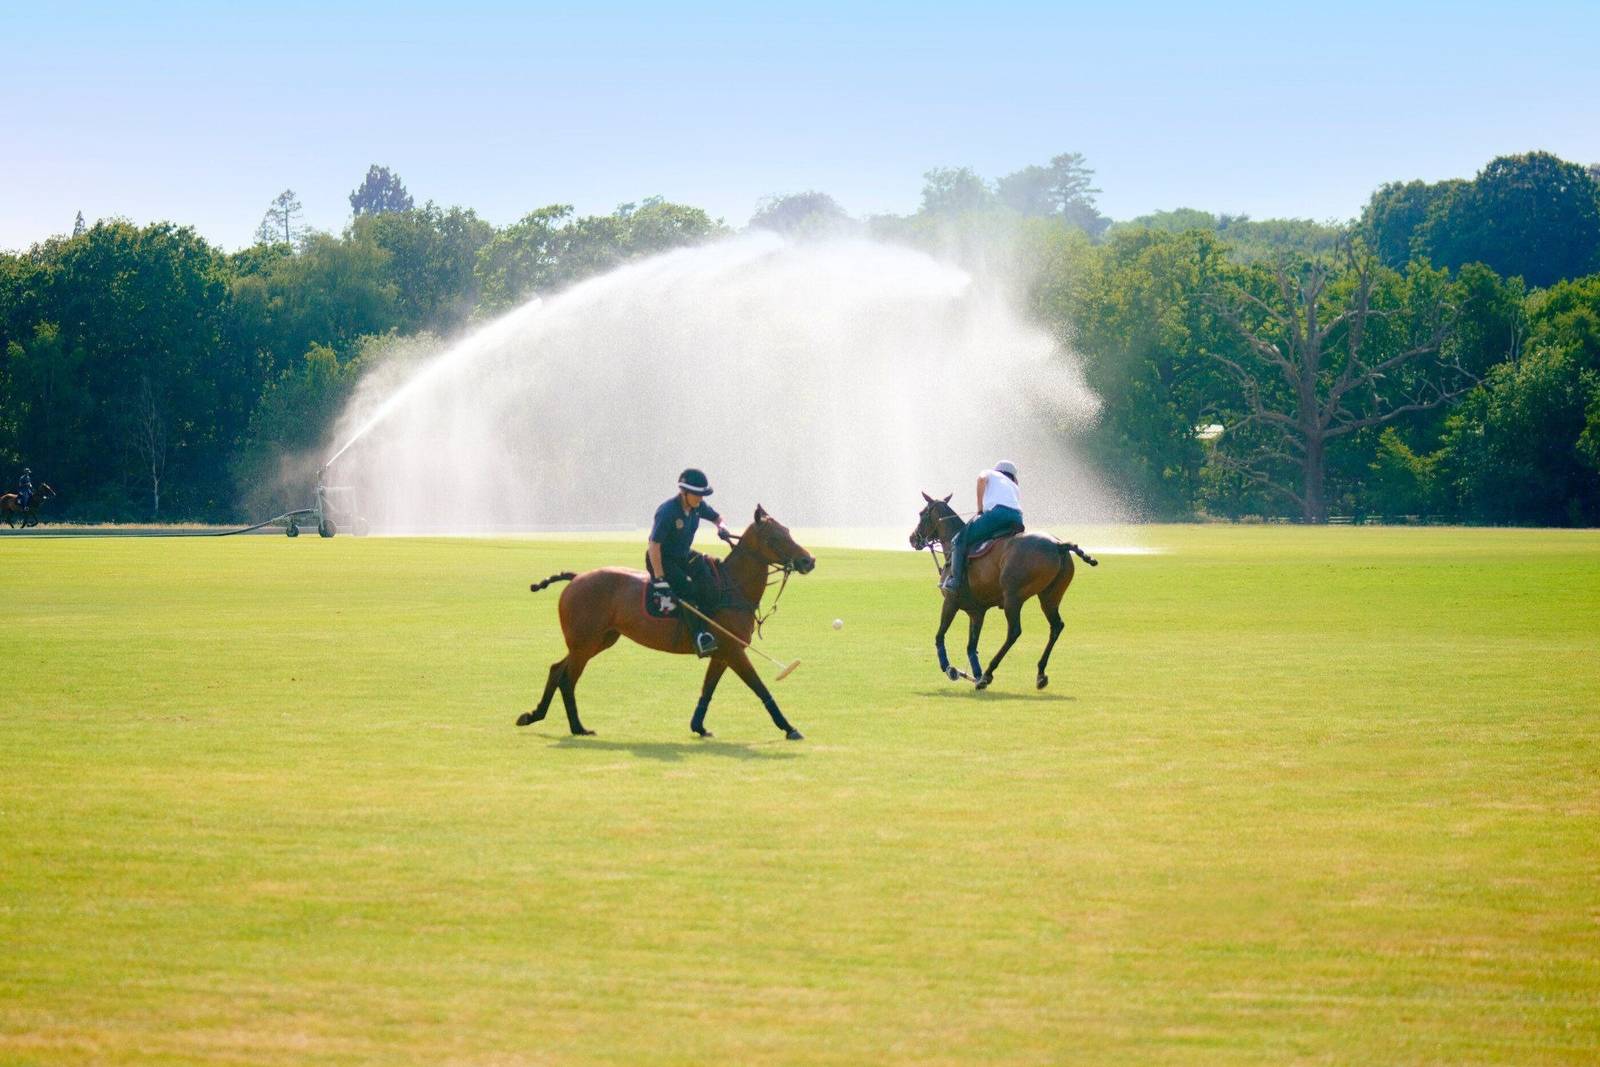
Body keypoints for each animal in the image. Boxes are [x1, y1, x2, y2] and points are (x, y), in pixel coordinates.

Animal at [519, 506, 816, 740]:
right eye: (775, 537)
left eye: (788, 530)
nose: (809, 560)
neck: (733, 588)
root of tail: (577, 577)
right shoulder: (734, 650)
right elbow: (760, 687)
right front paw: (789, 728)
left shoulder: (722, 653)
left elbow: (708, 688)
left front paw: (698, 726)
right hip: (585, 642)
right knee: (567, 678)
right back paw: (577, 727)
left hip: (598, 640)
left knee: (557, 669)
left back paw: (535, 715)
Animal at [909, 492, 1097, 690]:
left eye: (921, 514)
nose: (912, 538)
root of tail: (1058, 545)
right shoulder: (977, 611)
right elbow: (971, 645)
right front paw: (975, 675)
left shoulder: (951, 602)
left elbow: (940, 635)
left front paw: (949, 668)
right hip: (1049, 597)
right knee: (1056, 626)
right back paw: (1039, 673)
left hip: (1013, 597)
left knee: (1014, 631)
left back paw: (989, 672)